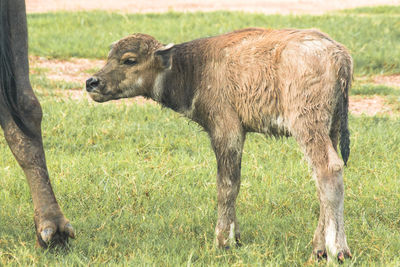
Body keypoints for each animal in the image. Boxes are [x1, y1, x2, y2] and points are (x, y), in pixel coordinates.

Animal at [86, 28, 352, 262]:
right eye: (109, 56)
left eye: (129, 60)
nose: (92, 82)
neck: (194, 69)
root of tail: (339, 55)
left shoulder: (226, 130)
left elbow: (227, 186)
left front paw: (224, 240)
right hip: (331, 128)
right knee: (322, 179)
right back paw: (318, 248)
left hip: (307, 123)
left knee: (329, 169)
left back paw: (338, 250)